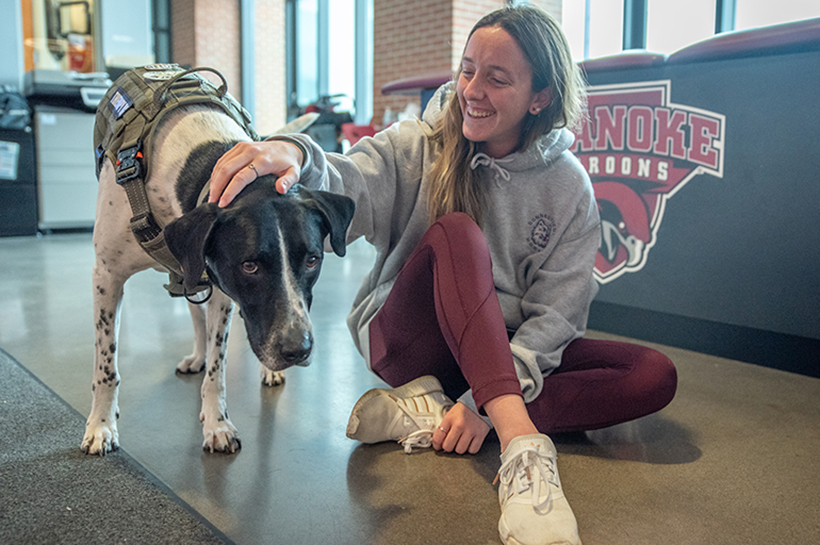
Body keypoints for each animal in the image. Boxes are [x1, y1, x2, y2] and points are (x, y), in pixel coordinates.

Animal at [81, 103, 354, 454]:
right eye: (249, 266)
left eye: (312, 260)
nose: (299, 350)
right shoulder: (107, 276)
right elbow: (106, 366)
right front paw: (101, 424)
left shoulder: (221, 290)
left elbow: (217, 366)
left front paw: (216, 423)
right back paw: (197, 357)